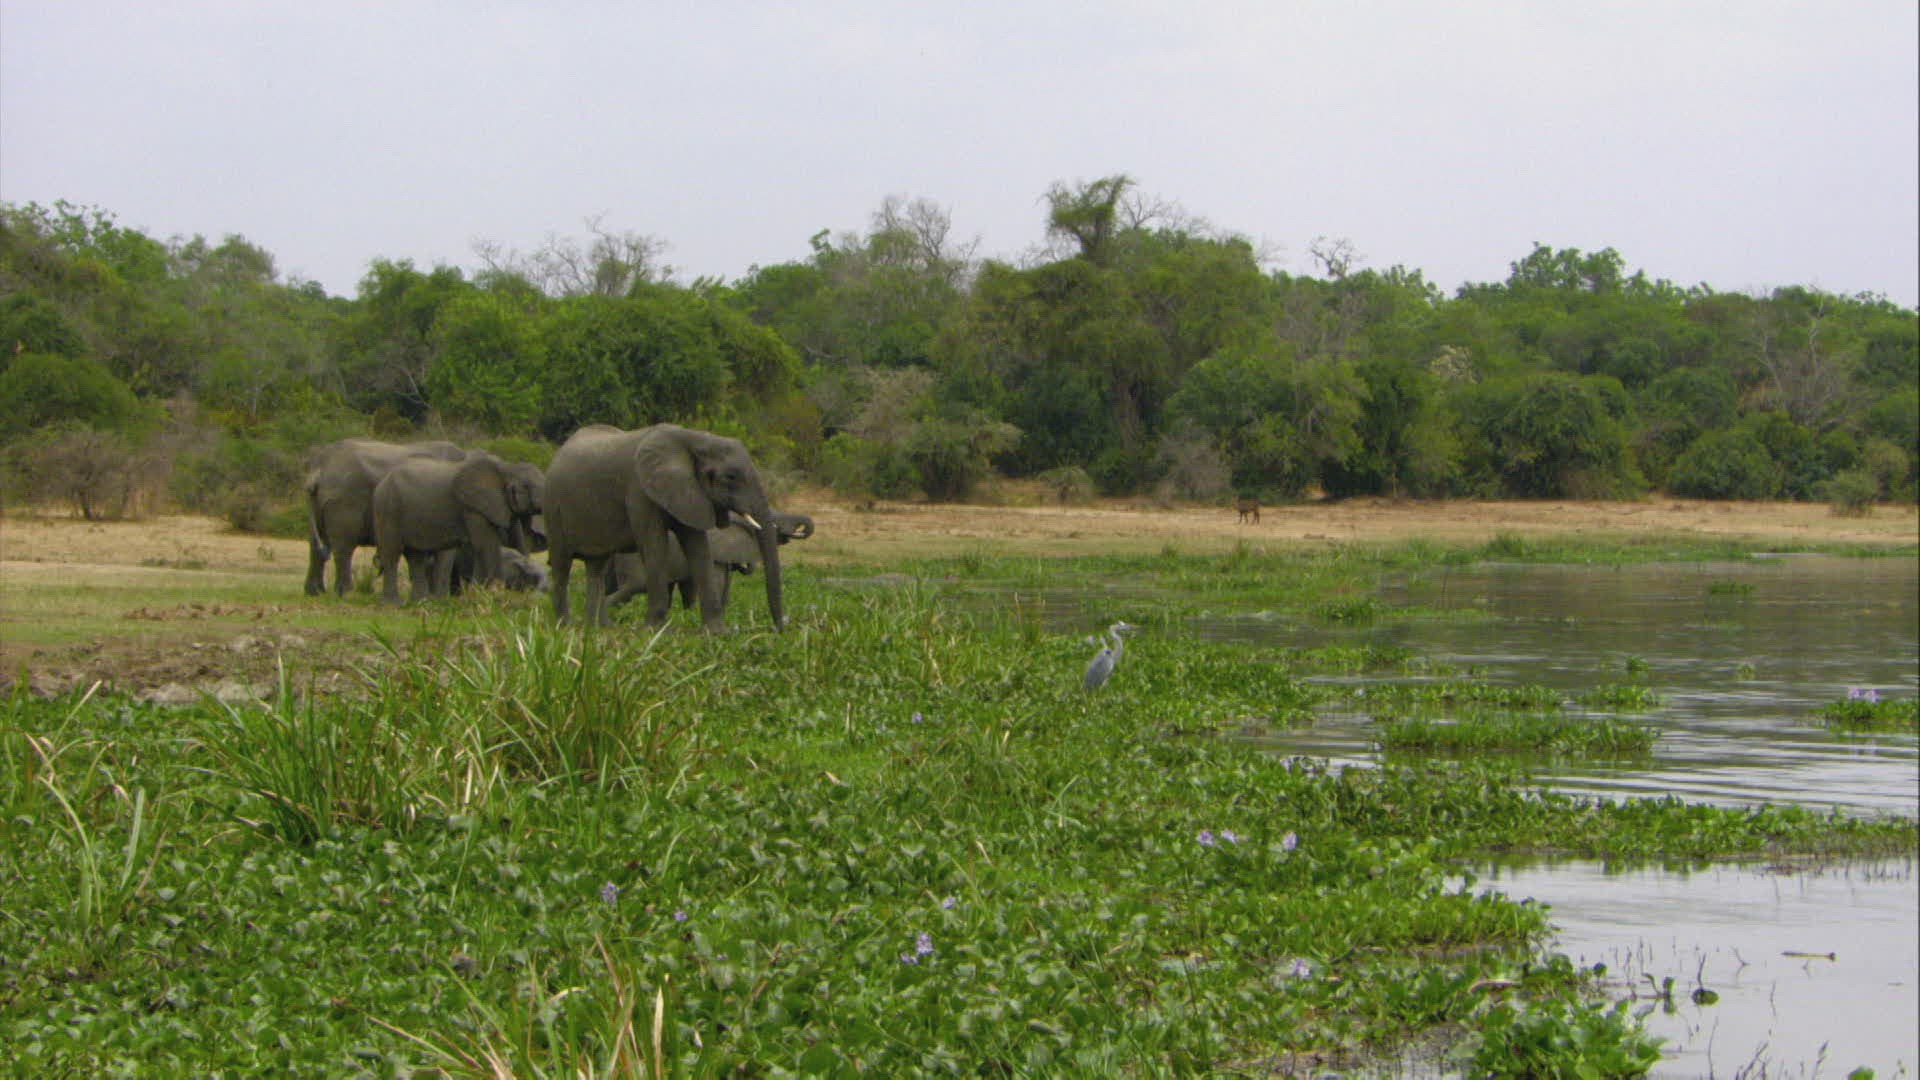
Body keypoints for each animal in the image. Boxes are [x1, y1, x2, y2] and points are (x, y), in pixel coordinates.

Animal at [305, 438, 468, 596]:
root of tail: (320, 468)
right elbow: (445, 555)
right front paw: (440, 599)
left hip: (320, 501)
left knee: (317, 544)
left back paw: (315, 593)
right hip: (343, 500)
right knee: (343, 546)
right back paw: (346, 593)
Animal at [371, 452, 546, 604]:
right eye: (527, 486)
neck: (506, 468)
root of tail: (382, 482)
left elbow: (483, 545)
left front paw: (480, 594)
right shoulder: (472, 507)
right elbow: (485, 544)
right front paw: (490, 594)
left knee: (416, 556)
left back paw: (421, 602)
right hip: (388, 508)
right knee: (392, 553)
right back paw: (393, 604)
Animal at [544, 423, 784, 630]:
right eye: (731, 477)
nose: (779, 629)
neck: (694, 438)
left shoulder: (689, 492)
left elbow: (698, 547)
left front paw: (717, 632)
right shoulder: (639, 490)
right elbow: (654, 544)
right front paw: (654, 630)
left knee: (596, 568)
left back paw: (593, 630)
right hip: (554, 507)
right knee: (561, 565)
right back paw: (565, 627)